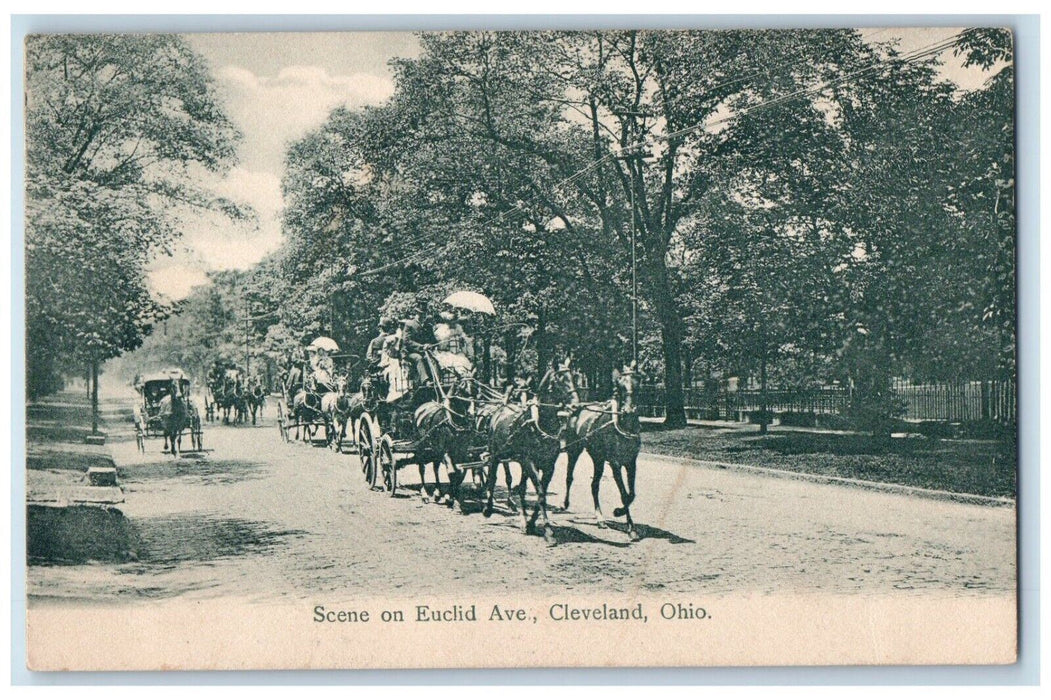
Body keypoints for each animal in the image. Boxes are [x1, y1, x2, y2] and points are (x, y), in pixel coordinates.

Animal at [481, 359, 580, 538]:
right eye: (560, 379)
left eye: (574, 377)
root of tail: (501, 408)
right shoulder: (529, 461)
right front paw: (547, 529)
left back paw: (523, 519)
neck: (540, 424)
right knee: (492, 476)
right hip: (495, 453)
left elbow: (541, 492)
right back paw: (489, 508)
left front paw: (532, 523)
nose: (575, 405)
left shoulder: (548, 465)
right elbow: (540, 494)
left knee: (521, 488)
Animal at [567, 365, 639, 538]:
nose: (629, 410)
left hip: (598, 458)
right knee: (569, 476)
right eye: (620, 385)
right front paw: (620, 514)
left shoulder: (631, 462)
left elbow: (631, 495)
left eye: (637, 383)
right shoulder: (615, 463)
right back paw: (566, 503)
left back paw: (599, 518)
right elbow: (624, 494)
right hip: (575, 450)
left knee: (594, 485)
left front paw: (629, 524)